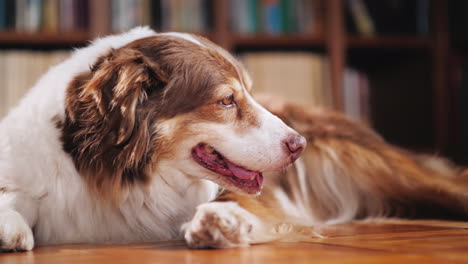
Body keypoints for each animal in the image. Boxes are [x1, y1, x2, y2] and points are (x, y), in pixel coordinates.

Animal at [0, 27, 468, 252]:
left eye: (251, 92)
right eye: (226, 100)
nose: (299, 145)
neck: (117, 173)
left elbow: (242, 200)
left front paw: (221, 219)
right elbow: (17, 195)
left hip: (381, 167)